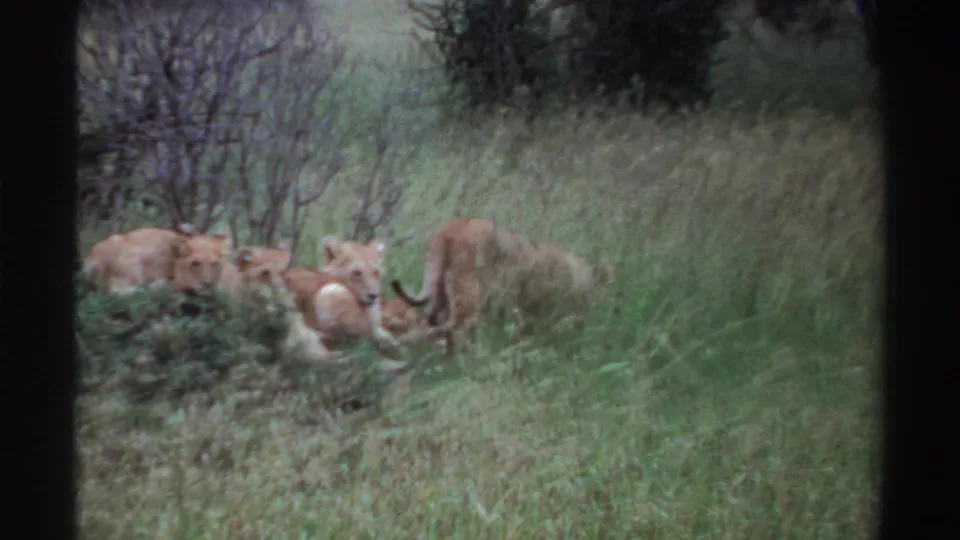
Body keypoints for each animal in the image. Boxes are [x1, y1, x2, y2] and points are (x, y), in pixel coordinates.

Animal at [391, 217, 615, 353]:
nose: (600, 311)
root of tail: (450, 227)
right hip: (468, 295)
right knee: (457, 328)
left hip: (438, 295)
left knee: (430, 325)